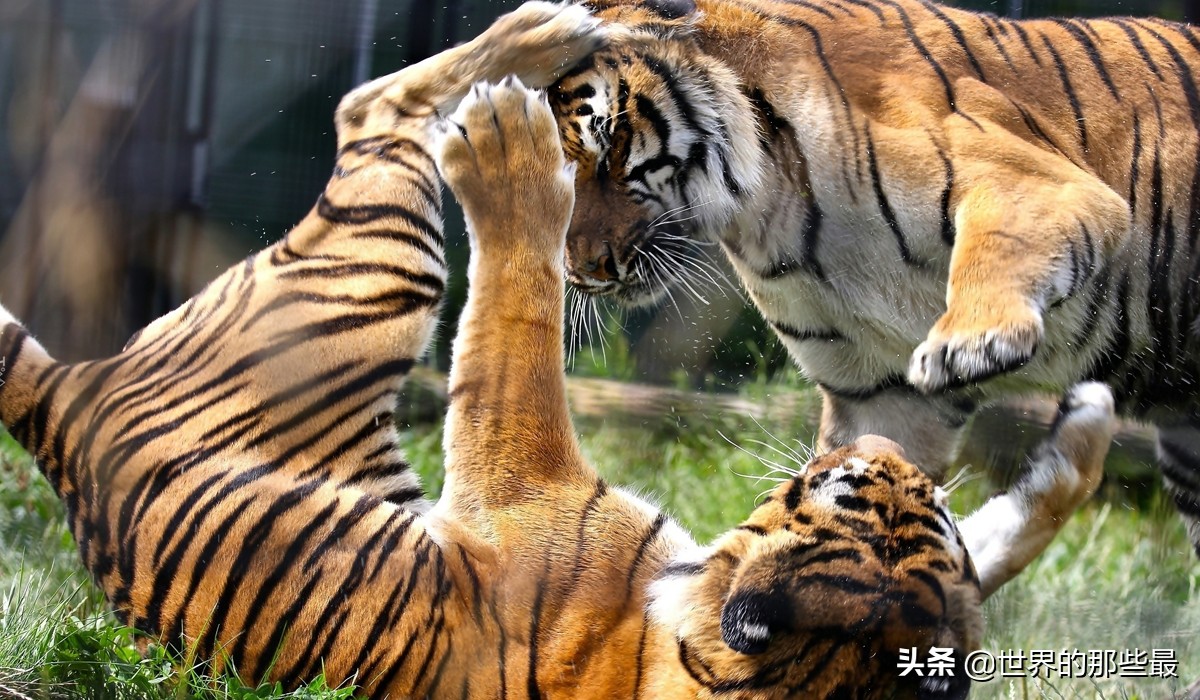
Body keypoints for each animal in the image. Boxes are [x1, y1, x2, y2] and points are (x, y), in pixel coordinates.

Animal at [0, 3, 1120, 698]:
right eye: (890, 499)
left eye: (857, 491)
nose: (881, 453)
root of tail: (57, 407)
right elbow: (1009, 541)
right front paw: (1084, 436)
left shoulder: (519, 472)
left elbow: (520, 321)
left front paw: (507, 152)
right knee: (364, 107)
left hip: (375, 266)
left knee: (368, 112)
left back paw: (537, 44)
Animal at [548, 0, 1200, 583]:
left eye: (610, 146)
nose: (584, 267)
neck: (768, 210)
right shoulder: (881, 393)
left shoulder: (1043, 185)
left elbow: (995, 243)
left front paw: (971, 343)